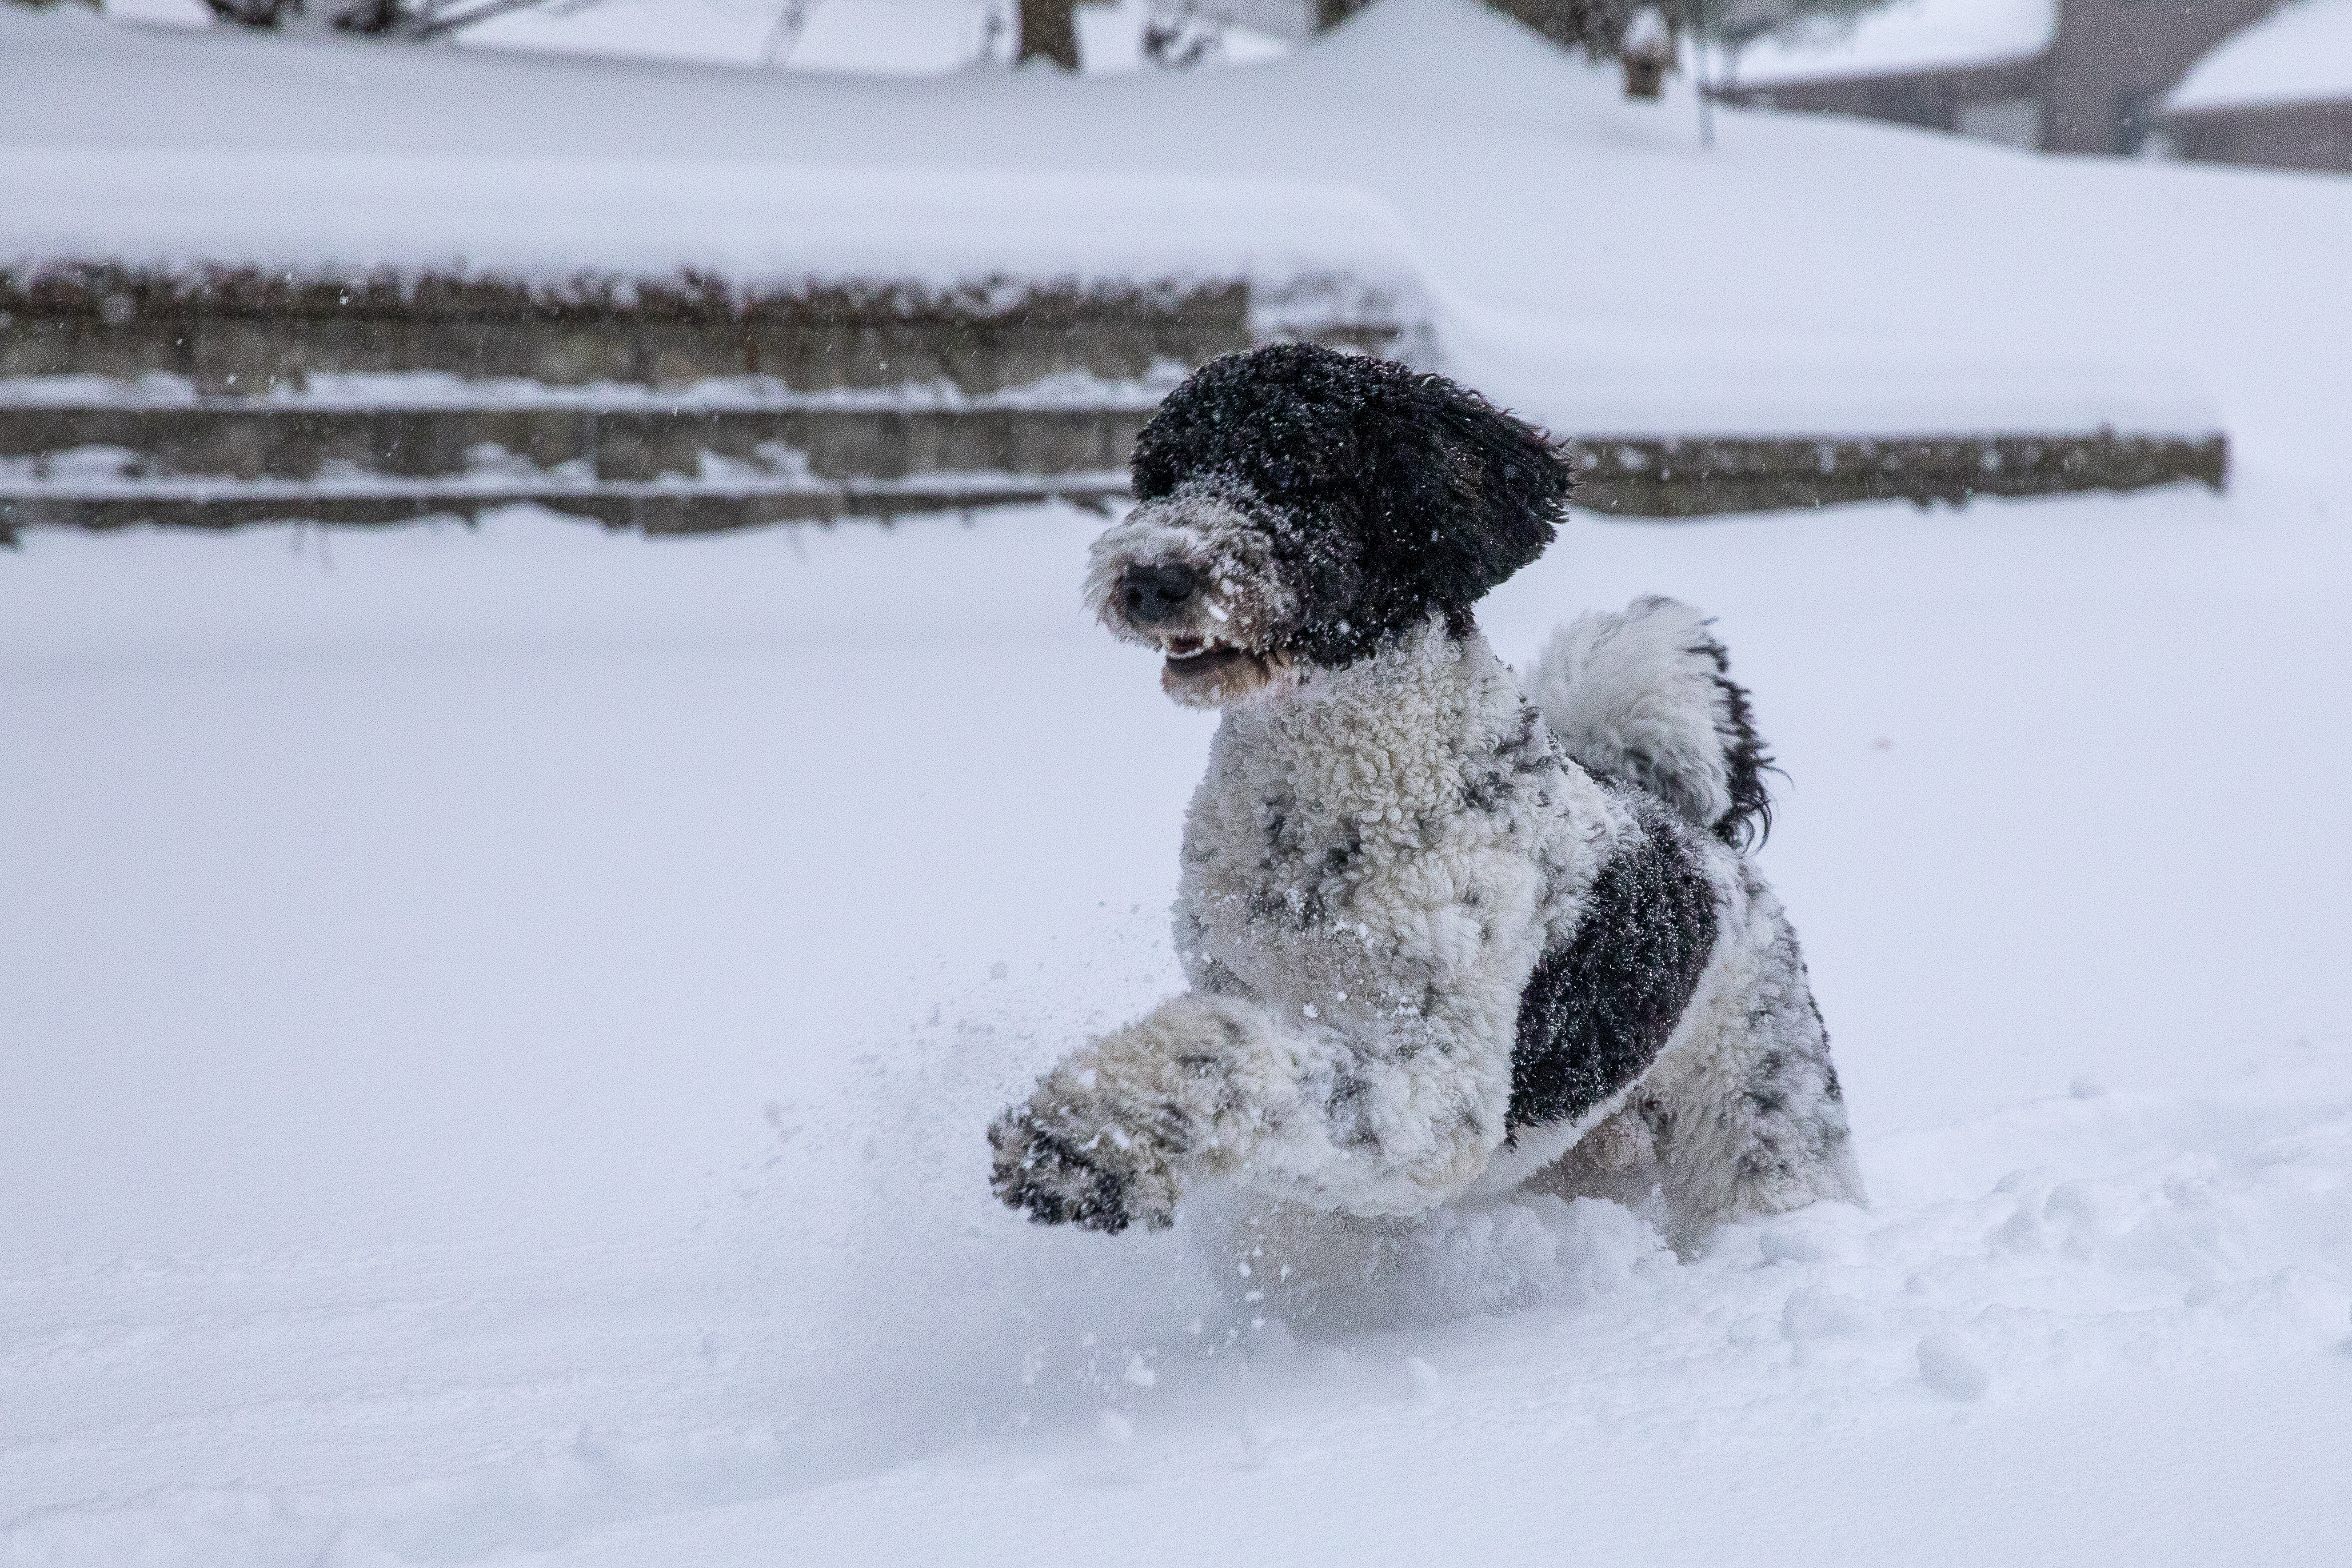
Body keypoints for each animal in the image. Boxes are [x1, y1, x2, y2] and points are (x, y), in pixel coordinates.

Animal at [983, 343, 1863, 1250]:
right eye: (1160, 477)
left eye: (1297, 470)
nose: (1152, 578)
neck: (1335, 807)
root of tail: (1703, 836)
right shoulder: (1237, 974)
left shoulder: (1438, 1088)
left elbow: (1236, 1049)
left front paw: (1084, 1141)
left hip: (1760, 1109)